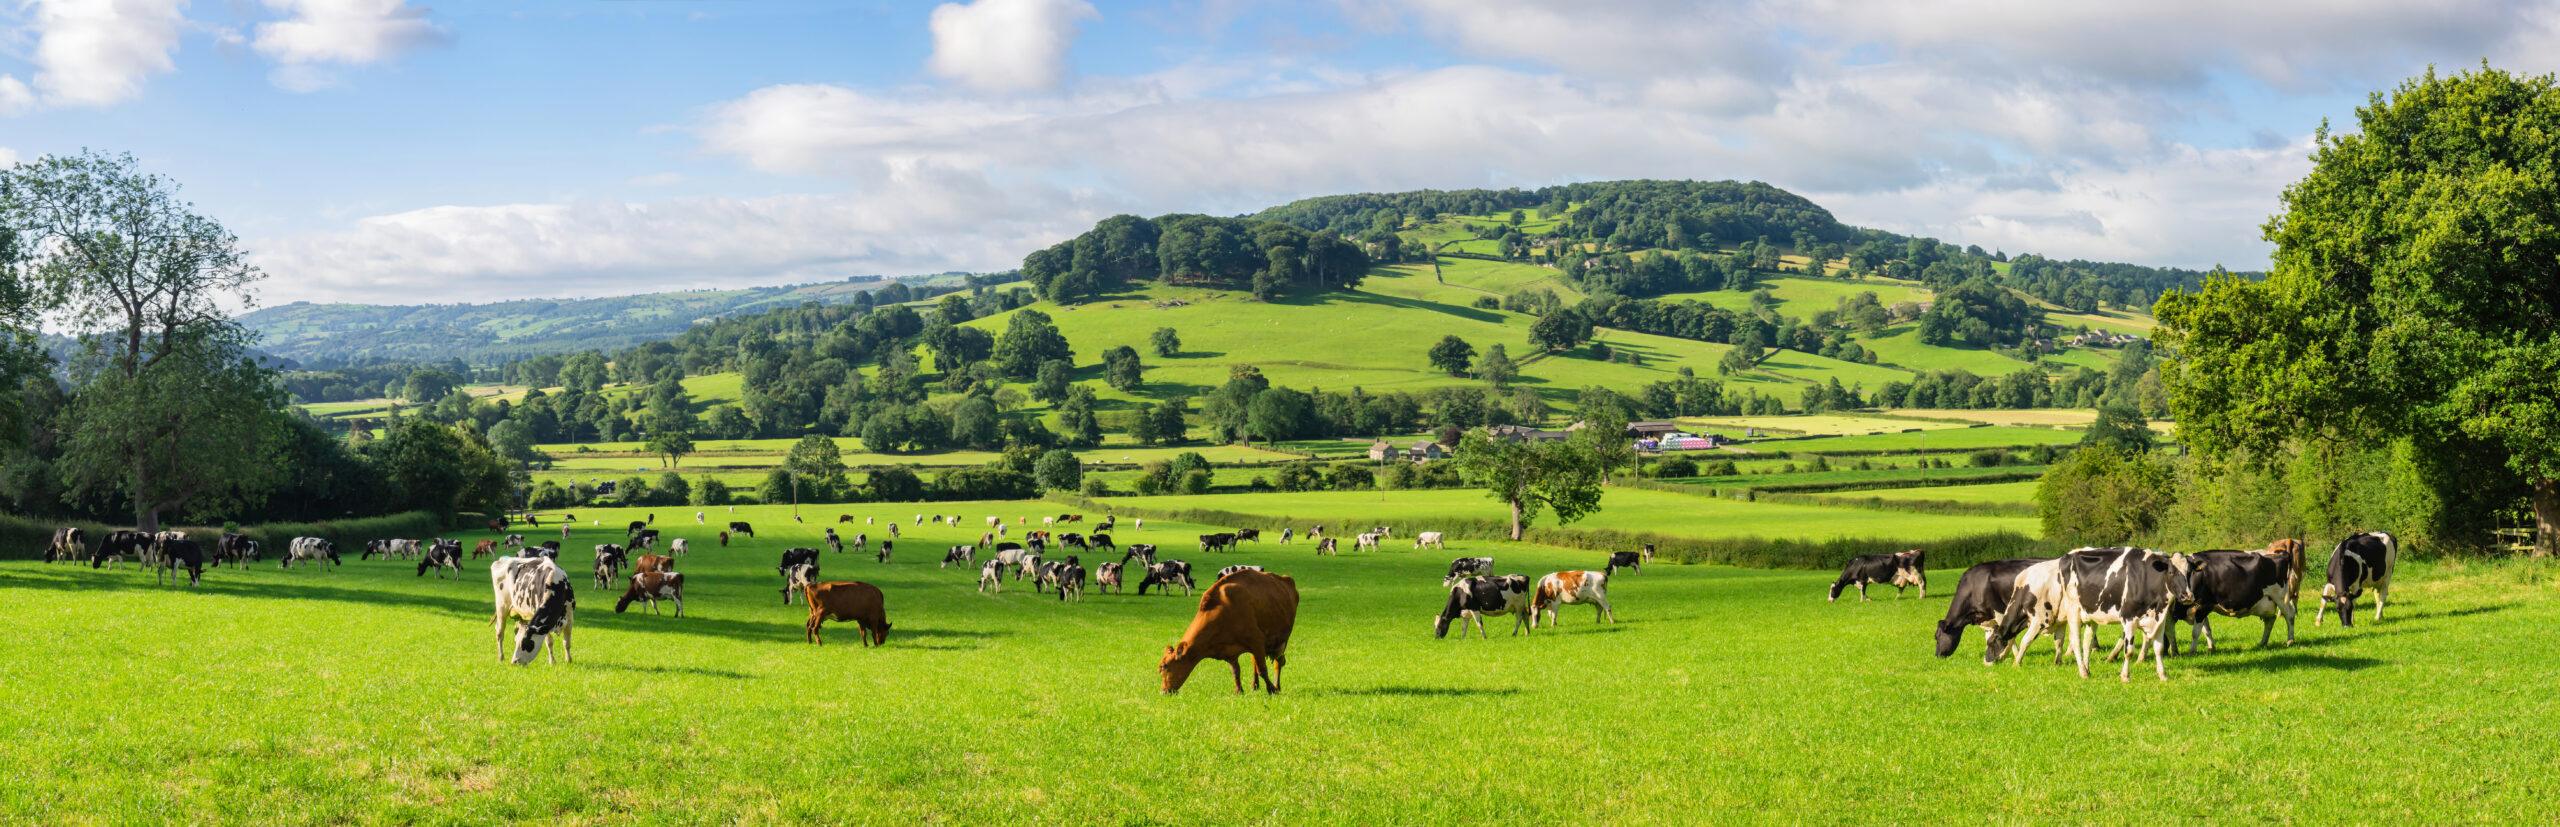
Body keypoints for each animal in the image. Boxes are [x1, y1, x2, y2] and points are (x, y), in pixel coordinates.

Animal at [1162, 570, 1300, 691]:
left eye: (1164, 667)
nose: (1163, 691)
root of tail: (1286, 579)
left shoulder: (1256, 640)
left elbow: (1262, 669)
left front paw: (1271, 689)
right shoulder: (1229, 652)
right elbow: (1236, 671)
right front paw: (1239, 690)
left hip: (1282, 641)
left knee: (1278, 662)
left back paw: (1277, 686)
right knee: (1255, 662)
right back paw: (1254, 686)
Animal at [2160, 550, 2304, 655]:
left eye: (2190, 572)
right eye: (2170, 572)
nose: (2186, 596)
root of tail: (2281, 554)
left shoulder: (2204, 606)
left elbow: (2196, 632)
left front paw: (2192, 651)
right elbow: (2205, 630)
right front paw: (2211, 648)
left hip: (2281, 596)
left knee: (2289, 615)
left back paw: (2290, 640)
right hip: (2265, 601)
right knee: (2270, 620)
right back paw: (2262, 642)